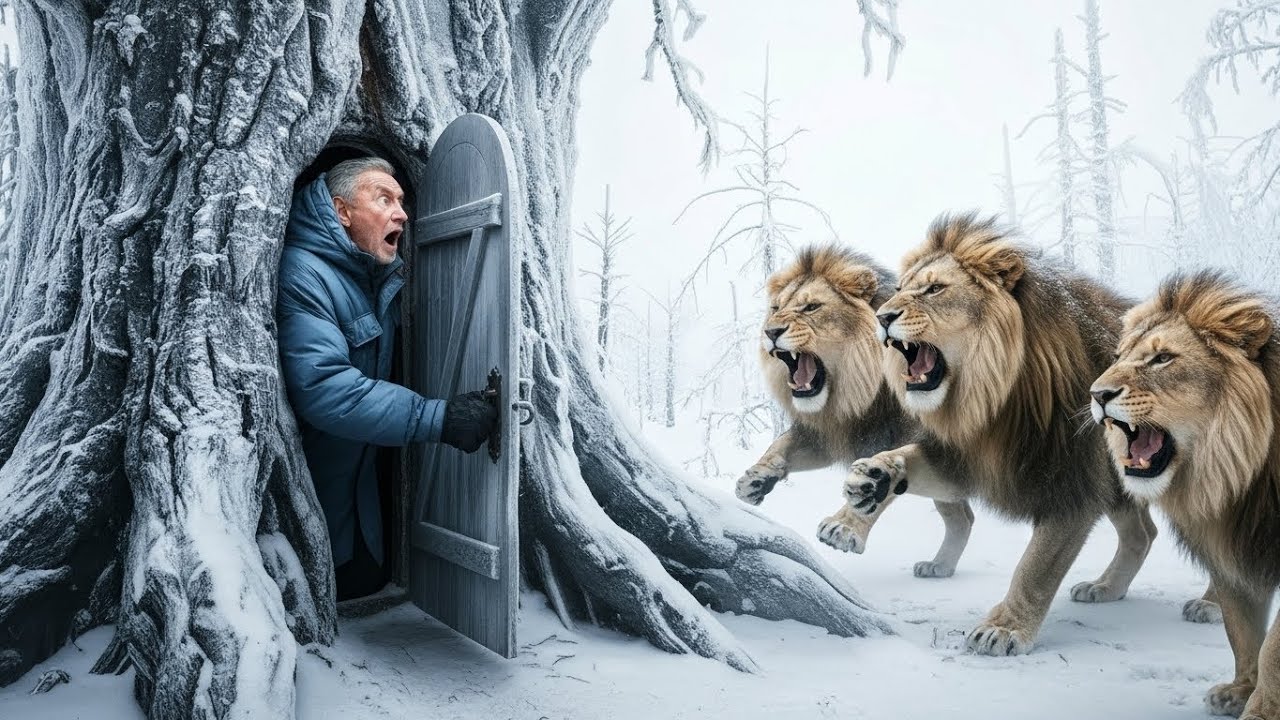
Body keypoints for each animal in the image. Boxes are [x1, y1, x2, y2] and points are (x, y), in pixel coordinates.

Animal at [736, 244, 976, 578]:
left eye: (811, 307)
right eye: (775, 308)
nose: (770, 332)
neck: (858, 394)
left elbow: (883, 479)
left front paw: (844, 527)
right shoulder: (834, 434)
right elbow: (781, 444)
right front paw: (756, 478)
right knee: (962, 517)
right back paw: (940, 566)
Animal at [819, 213, 1161, 656]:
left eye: (934, 288)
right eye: (899, 288)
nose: (881, 317)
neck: (991, 402)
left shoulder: (1072, 483)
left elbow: (1035, 568)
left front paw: (1004, 629)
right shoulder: (964, 458)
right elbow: (904, 456)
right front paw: (868, 483)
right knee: (1143, 533)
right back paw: (1105, 589)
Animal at [1090, 271, 1280, 718]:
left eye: (1162, 359)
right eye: (1118, 355)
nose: (1097, 394)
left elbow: (1272, 652)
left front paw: (1260, 709)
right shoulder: (1235, 545)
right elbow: (1244, 634)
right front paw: (1240, 692)